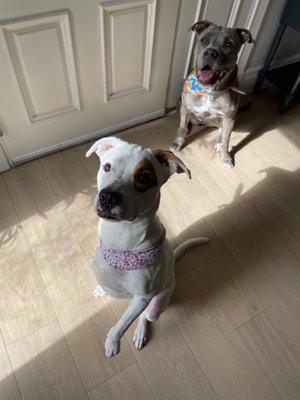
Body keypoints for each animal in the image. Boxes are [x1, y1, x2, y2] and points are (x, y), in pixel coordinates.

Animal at [86, 137, 209, 356]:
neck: (122, 238)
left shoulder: (142, 298)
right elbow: (104, 281)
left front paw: (112, 342)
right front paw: (102, 288)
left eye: (144, 176)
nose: (107, 197)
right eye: (107, 166)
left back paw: (140, 333)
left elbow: (122, 324)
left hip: (156, 304)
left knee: (145, 316)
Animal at [171, 20, 253, 167]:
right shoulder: (185, 107)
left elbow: (226, 140)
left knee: (221, 132)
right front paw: (178, 142)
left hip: (228, 120)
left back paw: (218, 143)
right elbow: (181, 128)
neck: (209, 90)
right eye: (204, 40)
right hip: (179, 103)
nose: (210, 53)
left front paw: (225, 157)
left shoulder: (229, 118)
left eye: (229, 44)